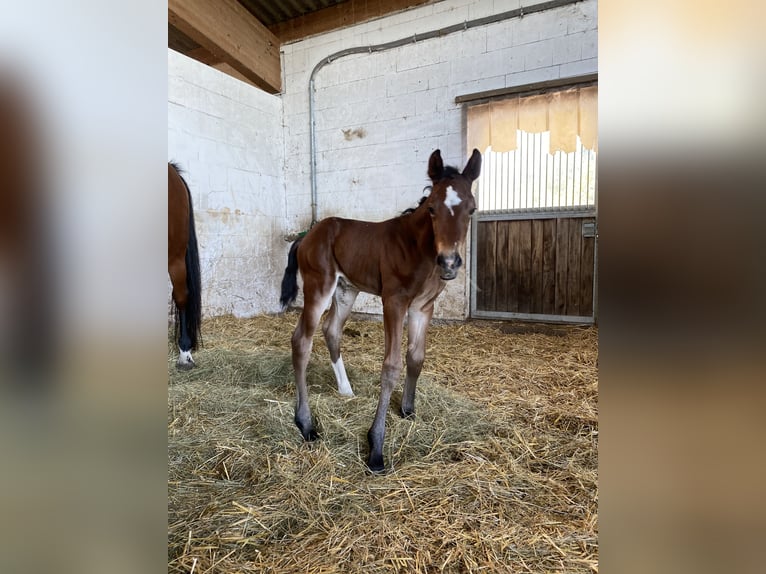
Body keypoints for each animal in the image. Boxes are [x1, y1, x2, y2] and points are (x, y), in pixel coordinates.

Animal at [280, 150, 484, 472]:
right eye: (432, 209)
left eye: (472, 209)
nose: (449, 262)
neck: (418, 248)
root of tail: (307, 235)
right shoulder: (394, 301)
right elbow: (391, 366)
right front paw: (375, 446)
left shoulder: (423, 307)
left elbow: (416, 358)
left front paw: (408, 410)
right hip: (318, 286)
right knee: (302, 341)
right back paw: (306, 424)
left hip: (346, 290)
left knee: (331, 330)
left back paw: (346, 390)